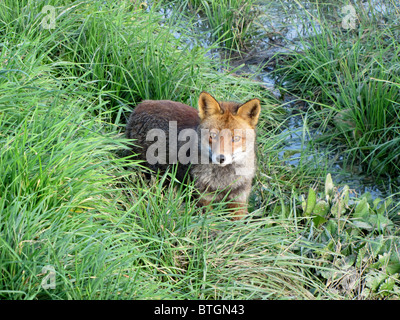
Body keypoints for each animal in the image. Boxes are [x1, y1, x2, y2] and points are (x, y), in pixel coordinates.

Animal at [126, 91, 262, 219]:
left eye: (236, 138)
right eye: (213, 135)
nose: (221, 158)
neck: (223, 183)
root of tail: (141, 105)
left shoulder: (239, 200)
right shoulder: (203, 198)